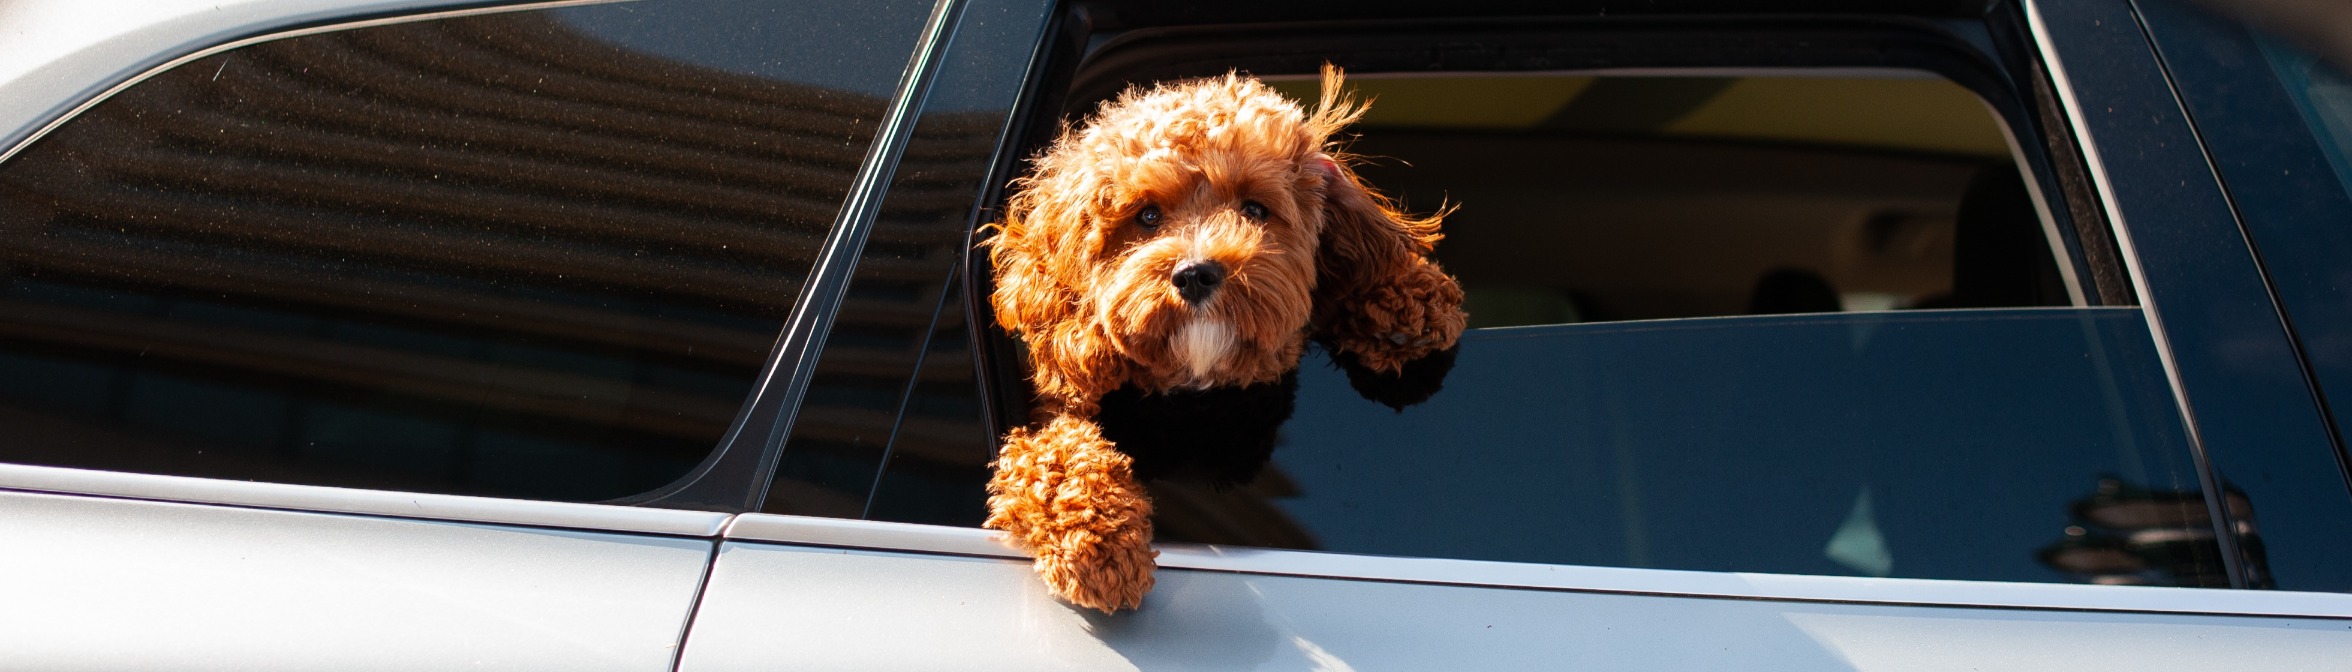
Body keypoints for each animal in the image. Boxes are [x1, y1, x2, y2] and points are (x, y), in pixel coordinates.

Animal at [978, 65, 1458, 610]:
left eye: (1254, 209)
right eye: (1147, 215)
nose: (1194, 274)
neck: (1197, 386)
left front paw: (1408, 297)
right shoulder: (1048, 419)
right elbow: (1050, 455)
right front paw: (1099, 544)